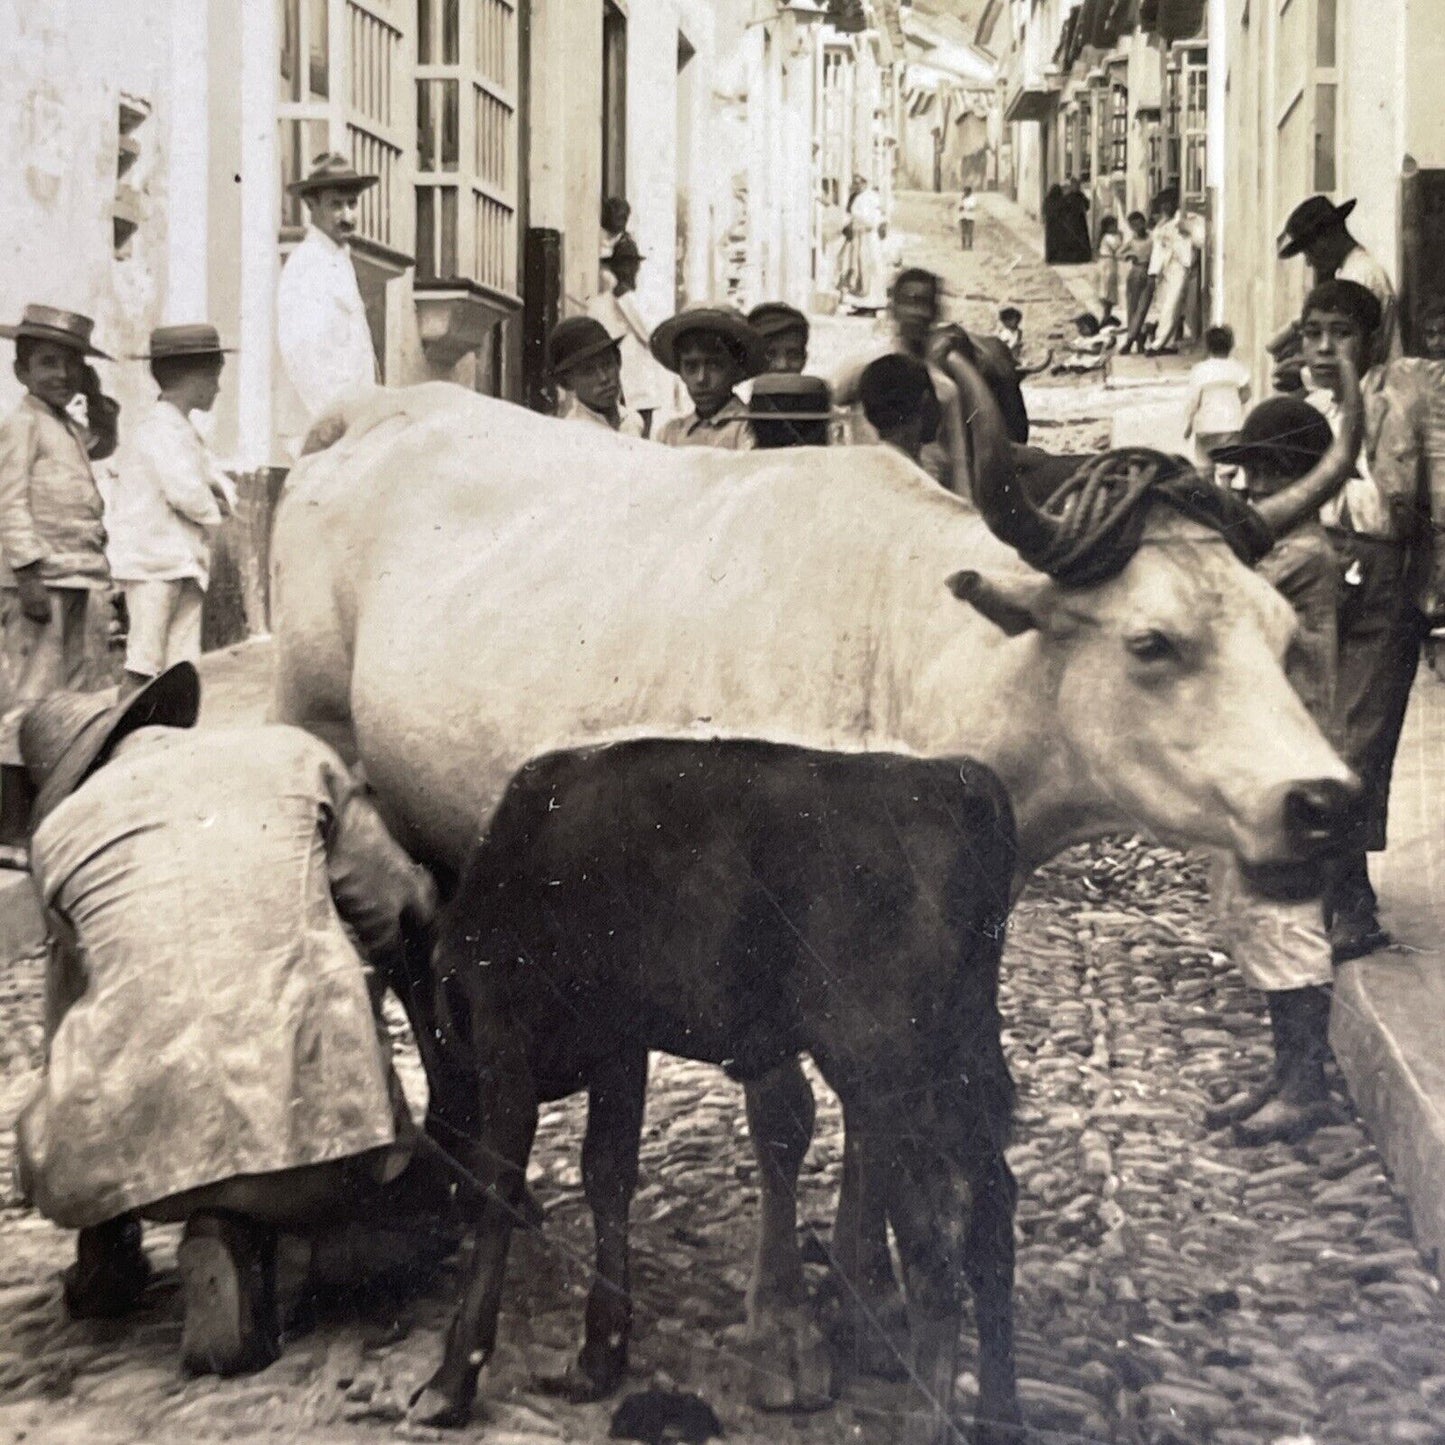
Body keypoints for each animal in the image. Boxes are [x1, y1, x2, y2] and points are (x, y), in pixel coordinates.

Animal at [413, 745, 1023, 1445]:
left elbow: (499, 1192)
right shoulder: (619, 1046)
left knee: (935, 1271)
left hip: (889, 1080)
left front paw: (451, 1380)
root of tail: (954, 777)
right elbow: (606, 1174)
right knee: (990, 1223)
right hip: (961, 1074)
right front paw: (600, 1356)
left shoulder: (504, 1036)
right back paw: (1004, 1416)